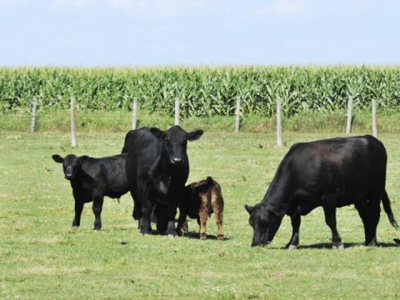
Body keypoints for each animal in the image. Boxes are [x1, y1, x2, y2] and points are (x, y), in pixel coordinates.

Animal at [245, 136, 398, 248]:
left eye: (265, 222)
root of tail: (372, 139)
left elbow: (330, 221)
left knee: (375, 213)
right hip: (360, 196)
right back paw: (367, 240)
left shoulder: (328, 197)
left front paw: (337, 242)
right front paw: (292, 243)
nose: (255, 244)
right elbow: (296, 223)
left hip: (376, 190)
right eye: (251, 223)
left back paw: (373, 241)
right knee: (365, 215)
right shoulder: (295, 205)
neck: (300, 169)